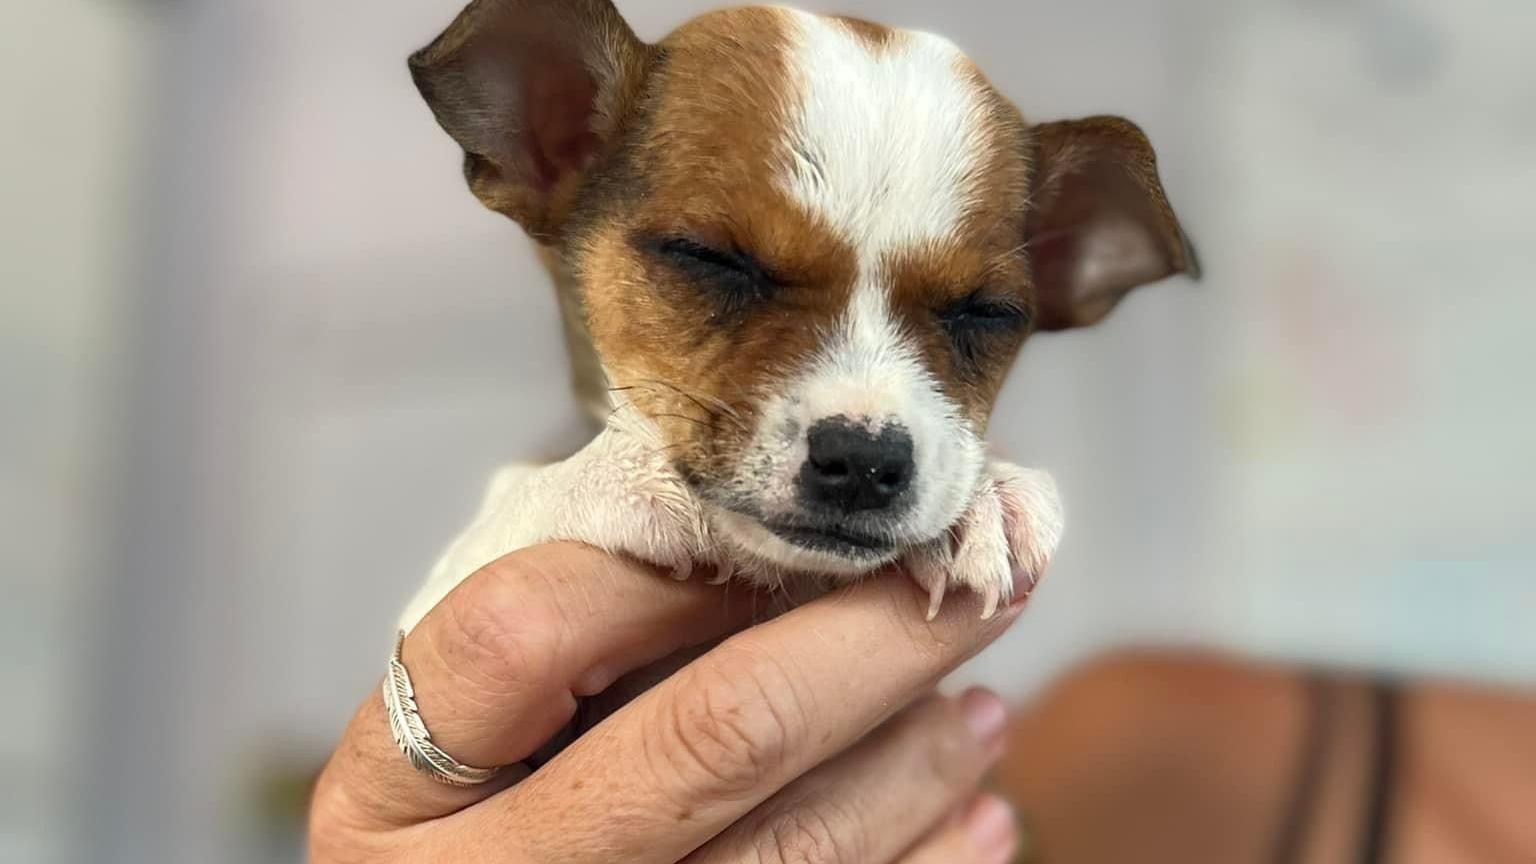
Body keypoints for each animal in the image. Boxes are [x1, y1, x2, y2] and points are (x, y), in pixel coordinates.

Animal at [393, 0, 1185, 633]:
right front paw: (614, 474)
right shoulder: (432, 604)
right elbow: (499, 522)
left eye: (985, 313)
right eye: (711, 259)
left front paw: (983, 499)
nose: (865, 461)